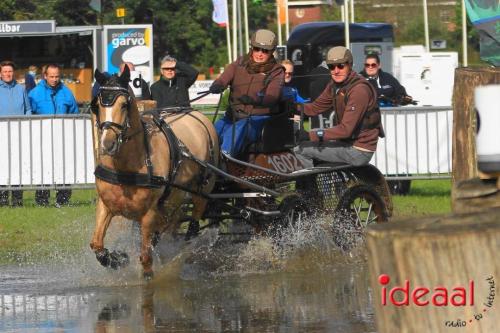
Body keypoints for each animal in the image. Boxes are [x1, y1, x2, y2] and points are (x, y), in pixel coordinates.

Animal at [90, 67, 219, 278]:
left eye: (124, 105)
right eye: (97, 105)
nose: (107, 144)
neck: (127, 165)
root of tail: (197, 115)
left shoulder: (149, 212)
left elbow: (146, 259)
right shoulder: (106, 205)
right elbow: (97, 246)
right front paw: (119, 258)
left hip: (202, 189)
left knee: (193, 223)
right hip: (174, 198)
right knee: (170, 223)